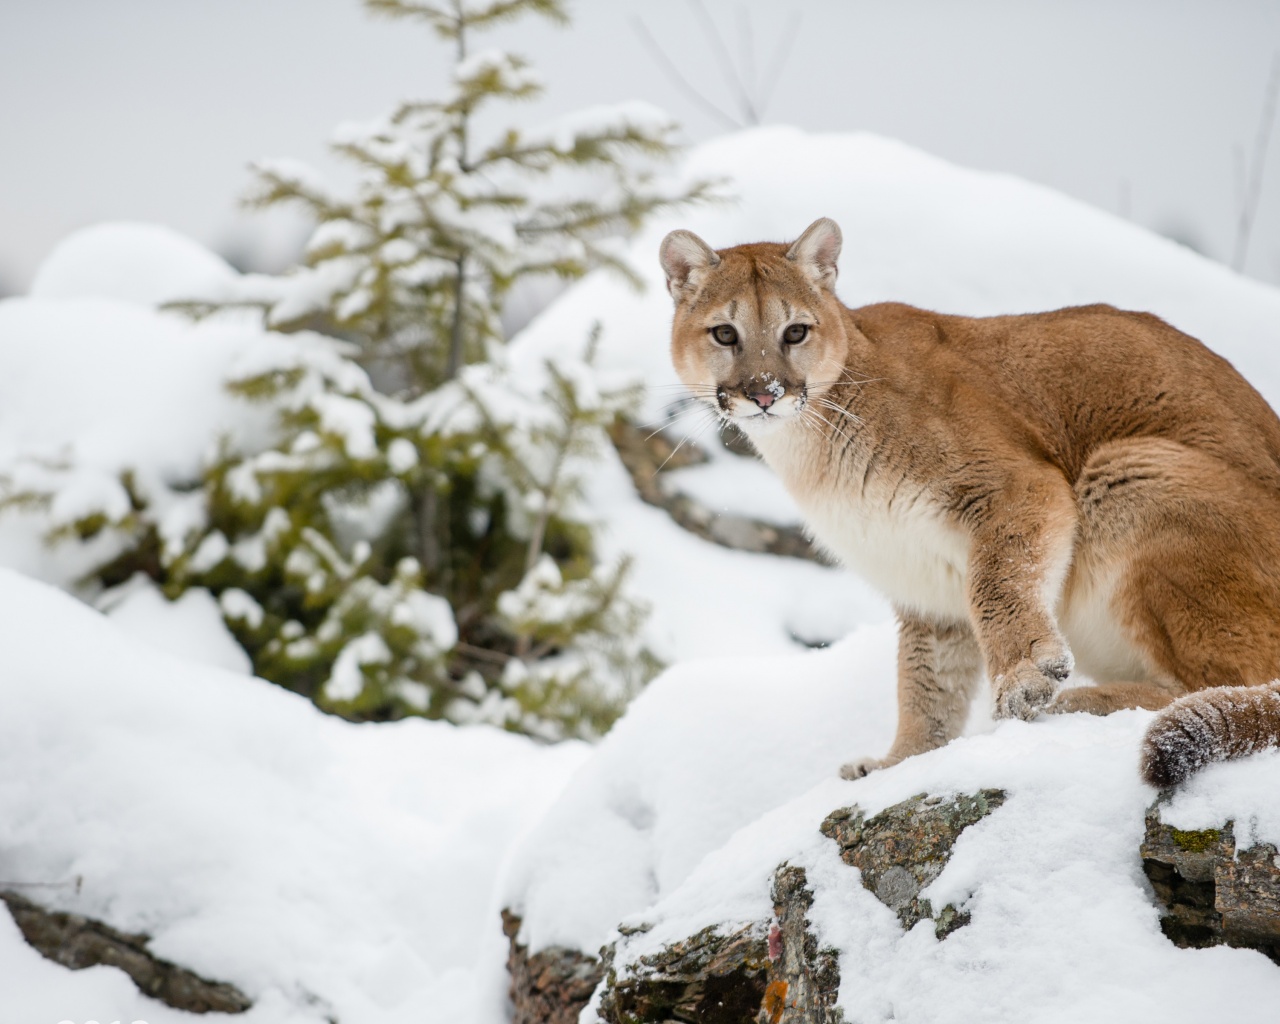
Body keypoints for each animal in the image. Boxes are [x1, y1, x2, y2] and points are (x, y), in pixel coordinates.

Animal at [665, 220, 1280, 788]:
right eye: (724, 333)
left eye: (795, 331)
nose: (764, 393)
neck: (811, 441)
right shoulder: (923, 579)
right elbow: (925, 682)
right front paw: (902, 763)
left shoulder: (1016, 486)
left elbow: (998, 584)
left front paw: (1025, 678)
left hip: (1130, 469)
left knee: (1228, 680)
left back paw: (1083, 702)